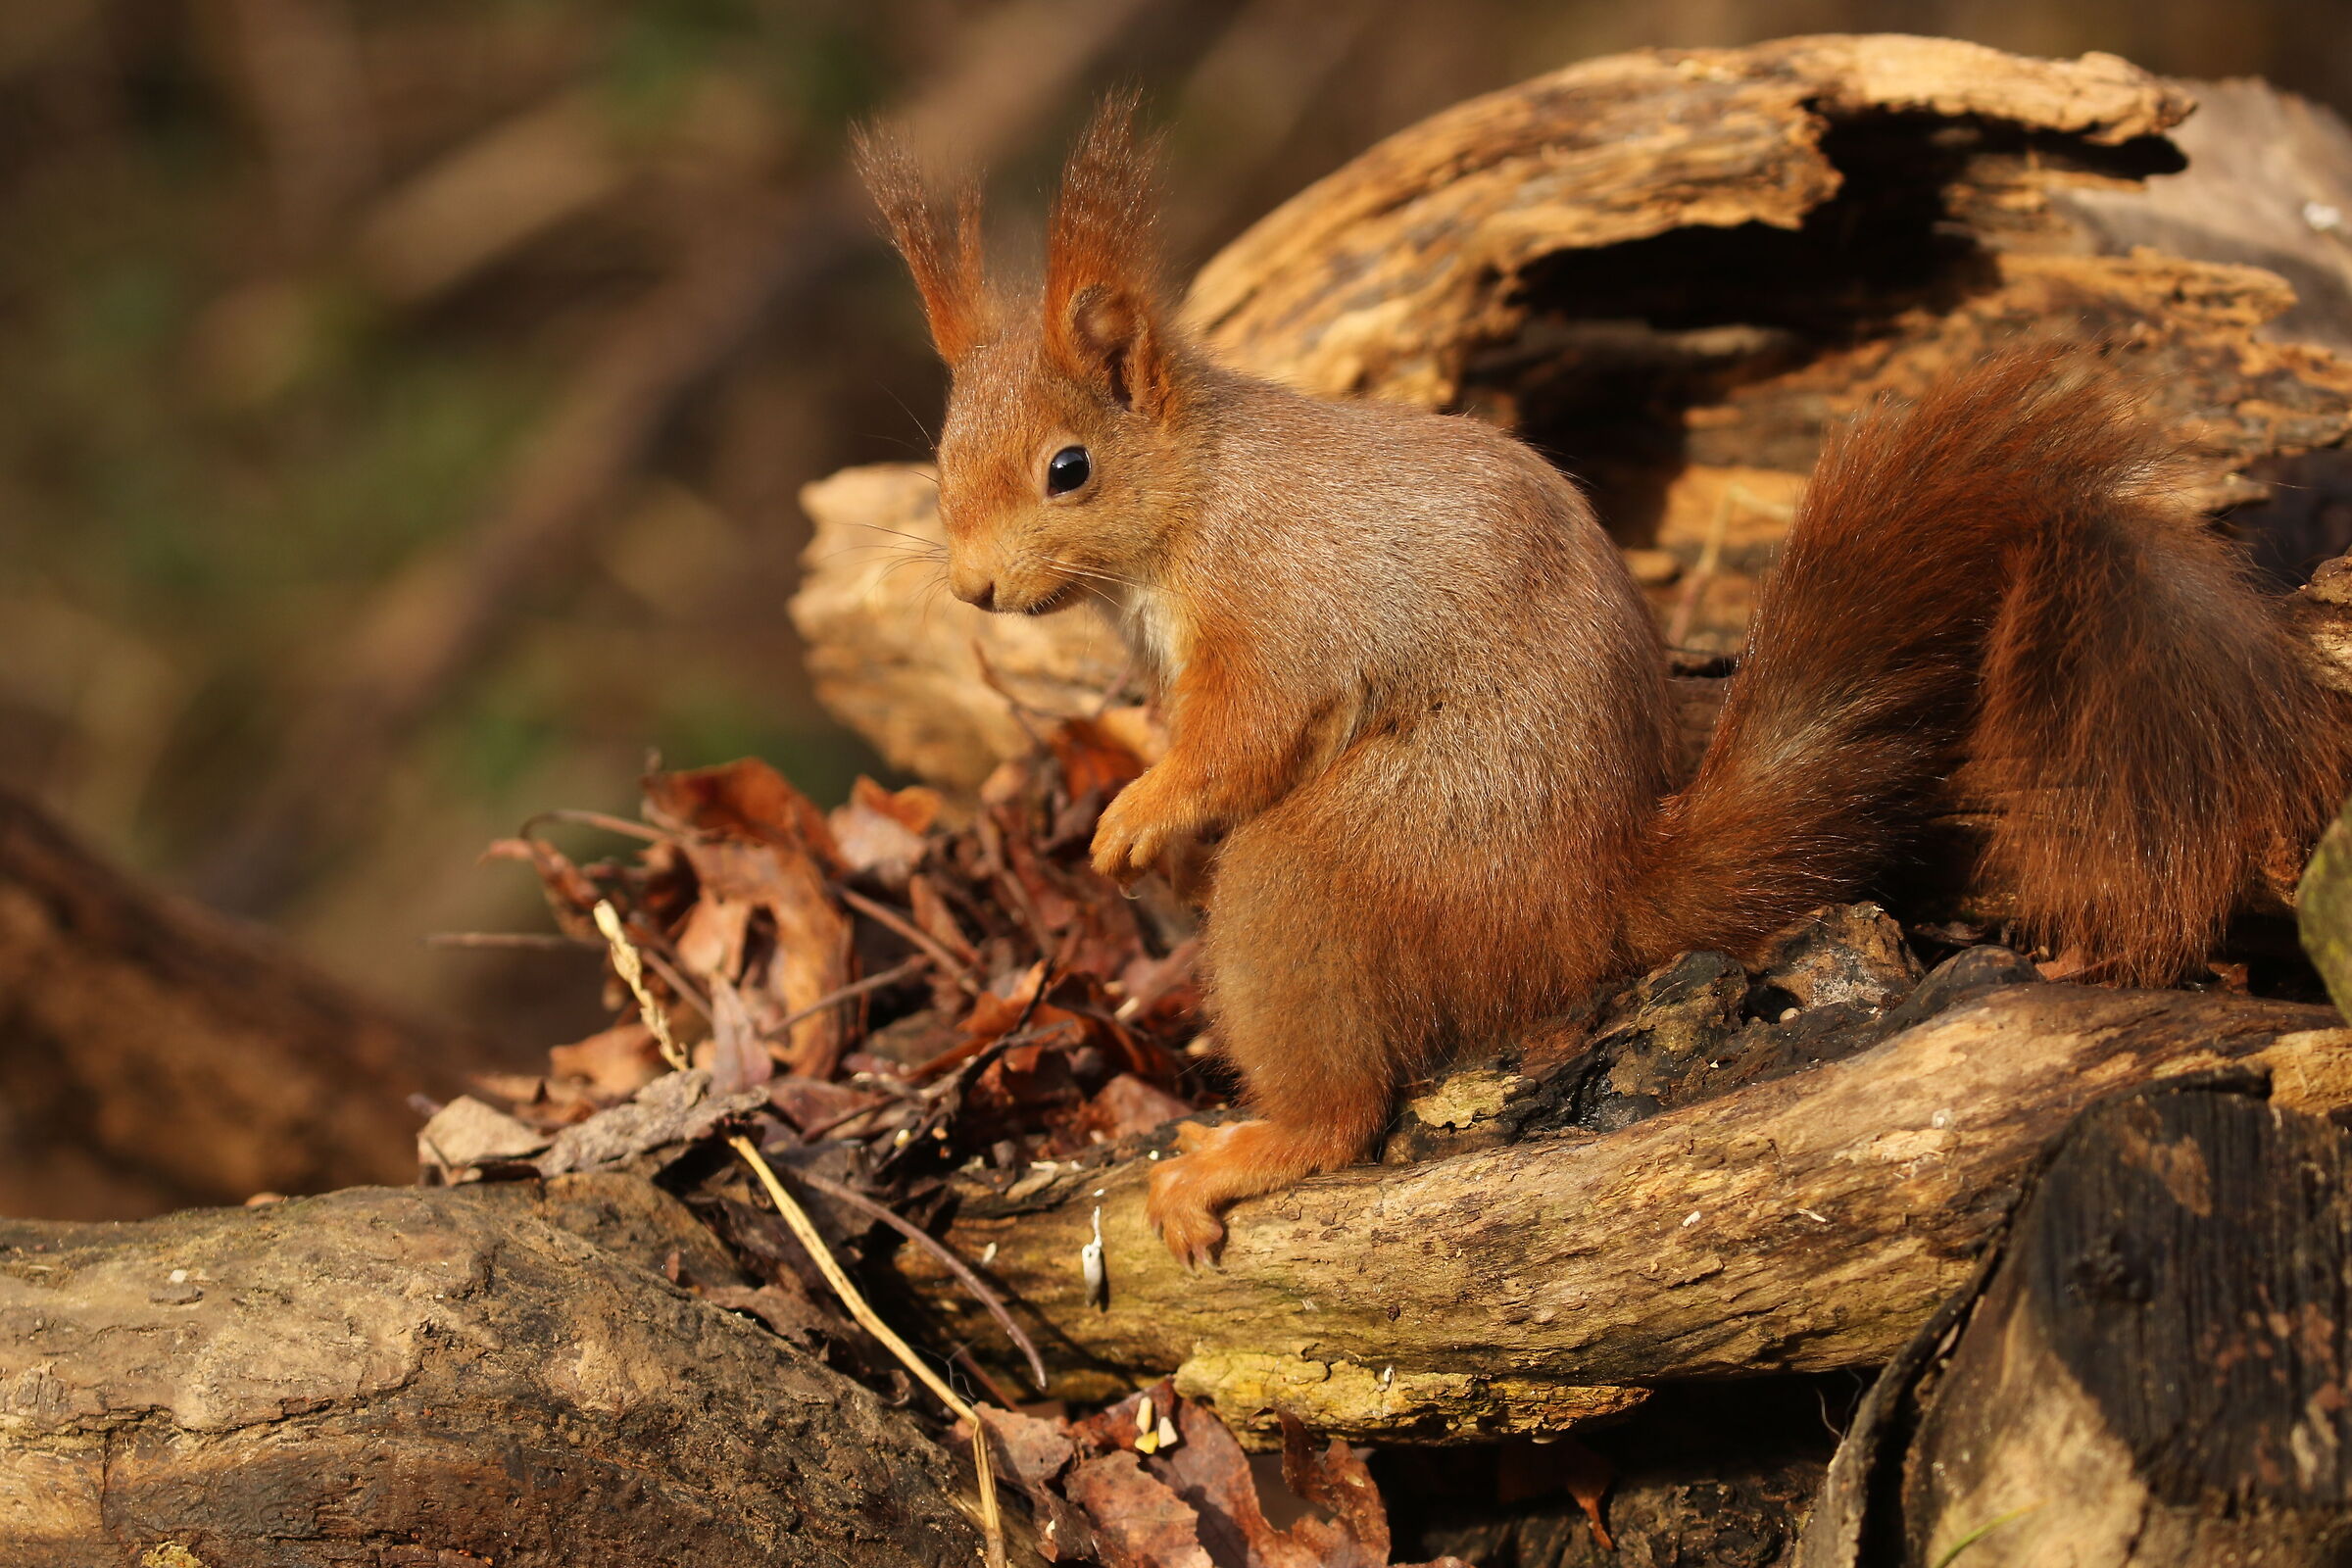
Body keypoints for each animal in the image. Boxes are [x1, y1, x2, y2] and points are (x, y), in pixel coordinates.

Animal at [856, 98, 2352, 1265]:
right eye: (941, 457)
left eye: (1068, 469)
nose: (973, 590)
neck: (1193, 506)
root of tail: (1586, 897)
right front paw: (1136, 824)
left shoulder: (1278, 606)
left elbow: (1244, 734)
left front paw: (1139, 813)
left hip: (1342, 870)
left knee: (1339, 1093)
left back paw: (1244, 1149)